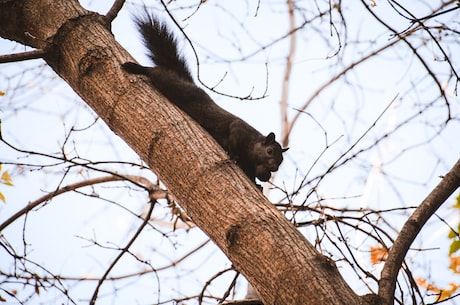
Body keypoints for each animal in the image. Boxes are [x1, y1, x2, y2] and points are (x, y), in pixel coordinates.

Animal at [122, 13, 288, 184]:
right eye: (269, 151)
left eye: (281, 160)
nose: (274, 168)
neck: (253, 147)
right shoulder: (239, 130)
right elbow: (234, 138)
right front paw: (233, 154)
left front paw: (258, 183)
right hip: (177, 88)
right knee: (157, 73)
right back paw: (136, 68)